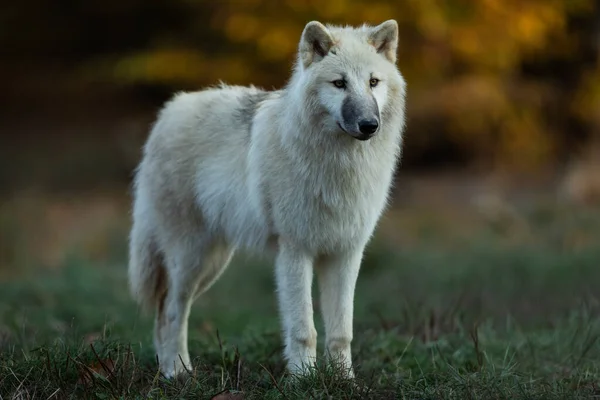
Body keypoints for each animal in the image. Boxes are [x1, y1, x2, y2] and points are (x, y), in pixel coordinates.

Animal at [128, 18, 406, 378]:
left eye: (373, 82)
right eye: (339, 83)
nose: (369, 125)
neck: (338, 165)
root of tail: (168, 112)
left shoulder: (345, 253)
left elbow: (341, 331)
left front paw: (344, 381)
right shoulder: (295, 251)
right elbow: (304, 329)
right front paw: (304, 380)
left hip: (212, 264)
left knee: (164, 312)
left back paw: (169, 371)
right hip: (191, 259)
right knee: (171, 312)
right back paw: (179, 373)